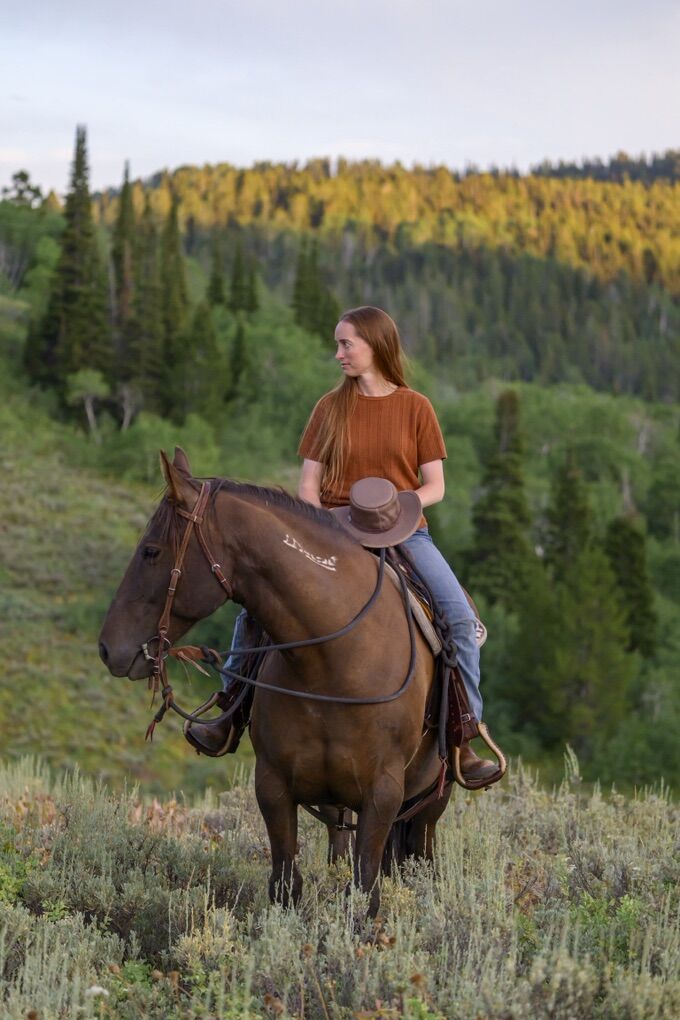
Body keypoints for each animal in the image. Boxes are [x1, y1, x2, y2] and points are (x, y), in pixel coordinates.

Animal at [99, 448, 452, 915]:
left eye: (151, 551)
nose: (108, 648)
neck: (334, 664)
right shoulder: (273, 787)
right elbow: (286, 884)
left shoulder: (383, 795)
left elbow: (363, 895)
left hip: (430, 803)